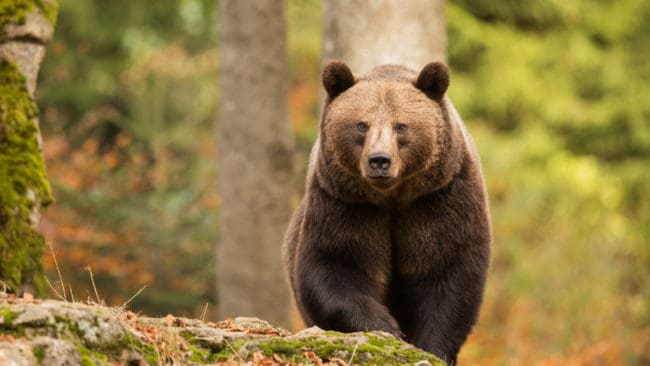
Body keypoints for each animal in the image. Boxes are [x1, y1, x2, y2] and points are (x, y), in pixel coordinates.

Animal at [280, 60, 488, 364]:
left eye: (401, 126)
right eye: (361, 124)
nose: (379, 160)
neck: (392, 197)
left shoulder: (440, 200)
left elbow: (449, 274)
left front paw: (431, 348)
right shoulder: (346, 206)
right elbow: (335, 266)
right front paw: (387, 328)